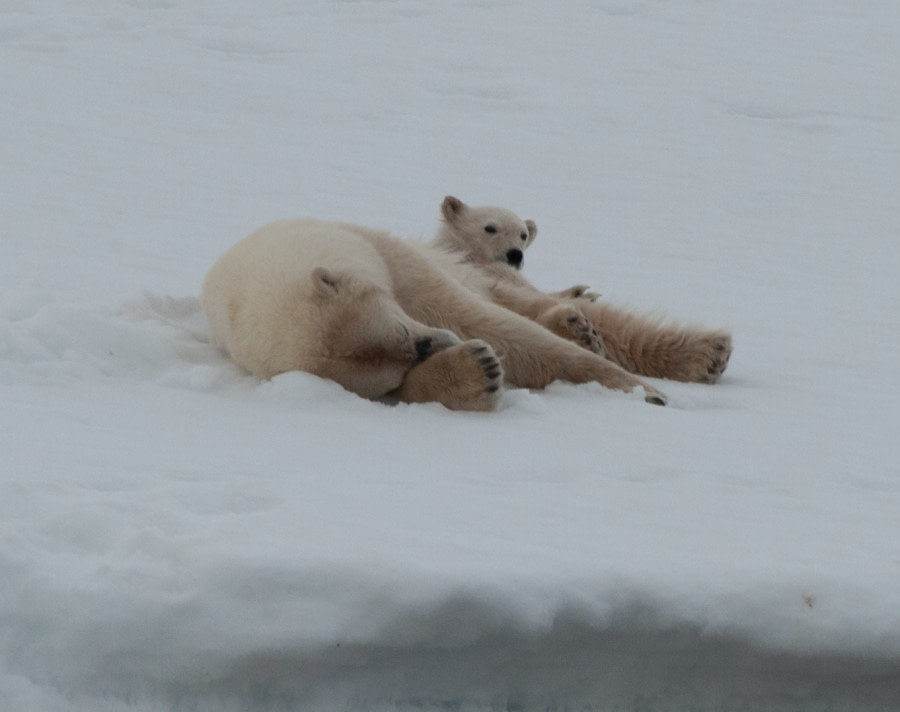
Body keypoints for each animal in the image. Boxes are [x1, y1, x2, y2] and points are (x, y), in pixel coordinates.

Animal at [204, 207, 668, 406]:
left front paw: (645, 390)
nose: (439, 344)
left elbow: (481, 319)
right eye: (391, 368)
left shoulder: (387, 257)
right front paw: (474, 370)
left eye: (400, 329)